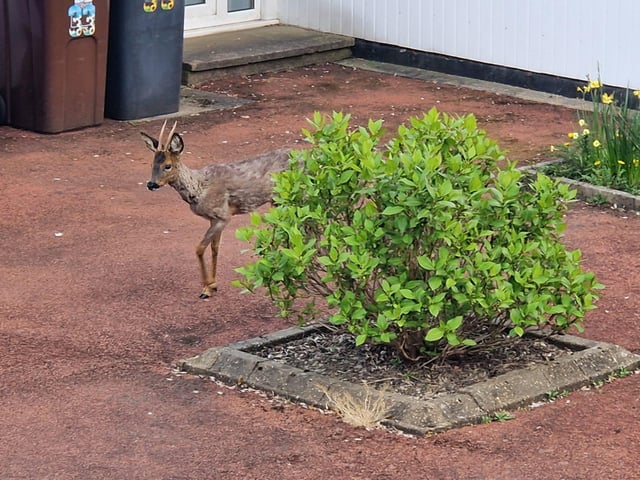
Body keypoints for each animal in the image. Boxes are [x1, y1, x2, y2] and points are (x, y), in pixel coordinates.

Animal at [141, 120, 290, 299]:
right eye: (152, 164)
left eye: (168, 166)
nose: (151, 184)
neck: (199, 189)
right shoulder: (213, 218)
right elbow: (214, 249)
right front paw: (212, 285)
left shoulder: (223, 215)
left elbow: (199, 248)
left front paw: (207, 287)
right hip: (276, 201)